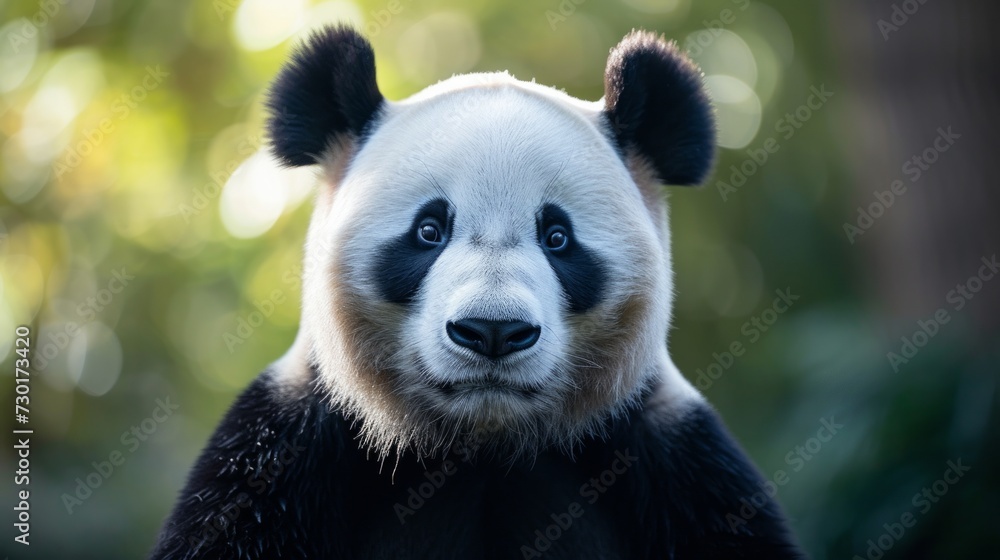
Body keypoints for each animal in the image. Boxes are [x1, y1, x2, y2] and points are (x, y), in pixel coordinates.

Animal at [151, 25, 804, 560]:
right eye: (428, 231)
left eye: (558, 237)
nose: (493, 331)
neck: (484, 444)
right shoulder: (283, 451)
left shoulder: (673, 458)